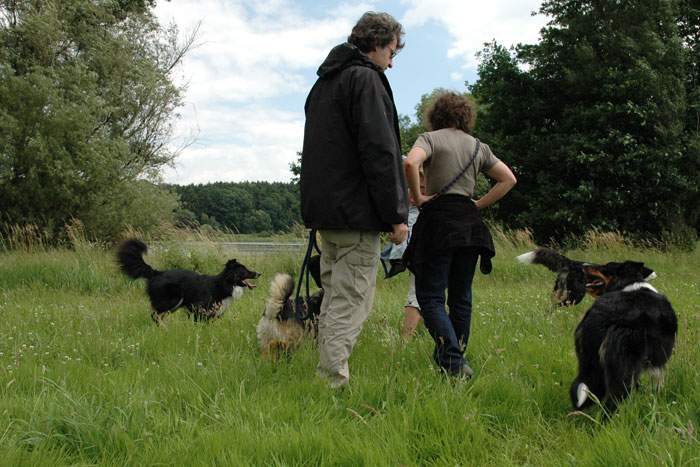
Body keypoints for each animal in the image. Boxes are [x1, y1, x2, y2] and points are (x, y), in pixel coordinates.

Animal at [117, 239, 260, 324]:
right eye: (244, 271)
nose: (259, 273)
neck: (224, 284)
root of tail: (157, 272)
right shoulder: (198, 308)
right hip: (172, 300)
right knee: (155, 315)